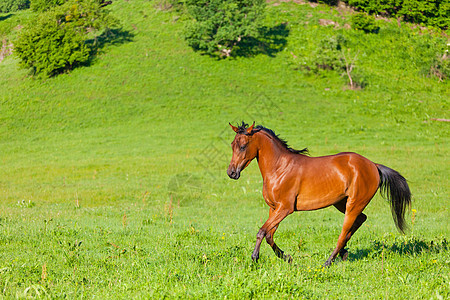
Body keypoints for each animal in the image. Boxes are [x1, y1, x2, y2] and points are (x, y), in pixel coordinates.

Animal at [229, 120, 412, 266]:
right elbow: (269, 235)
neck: (280, 168)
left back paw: (329, 261)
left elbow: (262, 231)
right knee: (360, 220)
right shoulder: (274, 208)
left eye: (243, 146)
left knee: (344, 232)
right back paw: (343, 253)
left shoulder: (285, 208)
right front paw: (287, 257)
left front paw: (255, 257)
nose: (231, 173)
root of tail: (373, 165)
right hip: (341, 203)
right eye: (232, 145)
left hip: (354, 204)